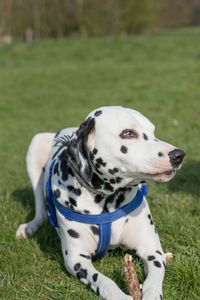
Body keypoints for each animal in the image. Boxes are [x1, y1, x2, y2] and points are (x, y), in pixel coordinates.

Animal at [16, 106, 185, 300]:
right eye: (128, 133)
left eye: (152, 131)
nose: (178, 155)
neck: (108, 201)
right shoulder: (76, 260)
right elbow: (104, 281)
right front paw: (120, 296)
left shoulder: (152, 250)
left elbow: (153, 281)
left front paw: (151, 294)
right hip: (35, 147)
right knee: (40, 211)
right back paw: (28, 227)